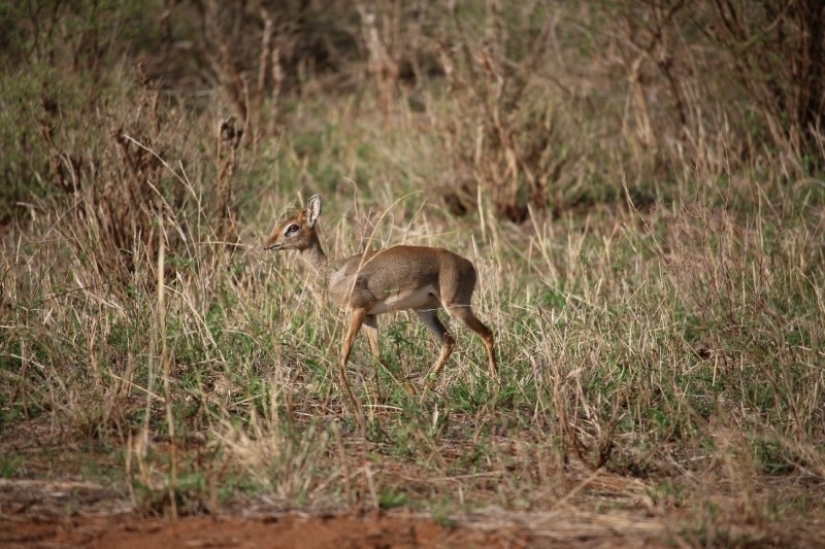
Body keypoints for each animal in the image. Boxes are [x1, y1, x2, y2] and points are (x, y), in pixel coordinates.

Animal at [264, 195, 496, 414]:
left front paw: (354, 404)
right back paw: (424, 395)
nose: (268, 244)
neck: (335, 273)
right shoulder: (369, 316)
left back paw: (495, 384)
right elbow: (377, 353)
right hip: (425, 311)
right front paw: (410, 391)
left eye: (293, 227)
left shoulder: (358, 310)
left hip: (456, 306)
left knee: (487, 333)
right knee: (449, 341)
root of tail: (469, 264)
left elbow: (344, 351)